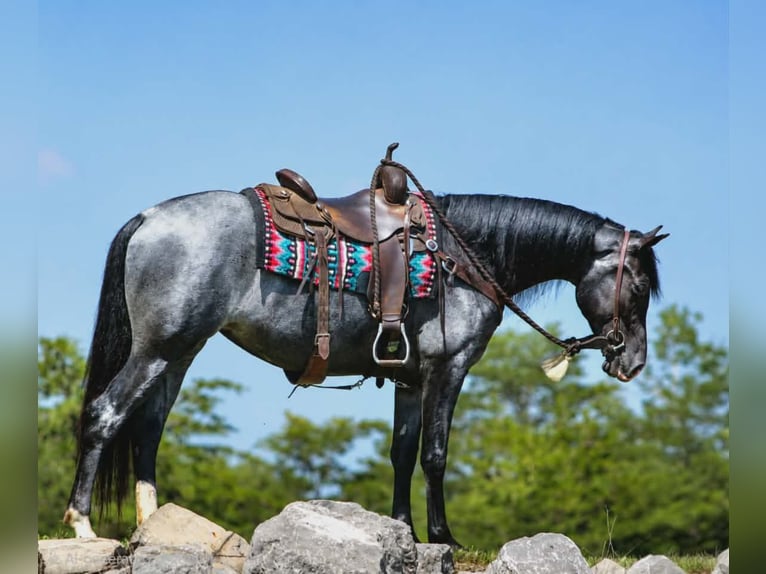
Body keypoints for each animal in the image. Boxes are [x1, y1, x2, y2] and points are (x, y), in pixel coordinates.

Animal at [63, 186, 667, 546]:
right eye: (639, 287)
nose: (633, 362)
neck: (462, 257)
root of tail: (149, 217)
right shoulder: (449, 370)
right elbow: (435, 454)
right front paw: (443, 536)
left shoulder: (410, 379)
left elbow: (402, 453)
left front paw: (404, 531)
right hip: (158, 350)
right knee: (105, 415)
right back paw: (82, 525)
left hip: (179, 352)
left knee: (147, 428)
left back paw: (153, 526)